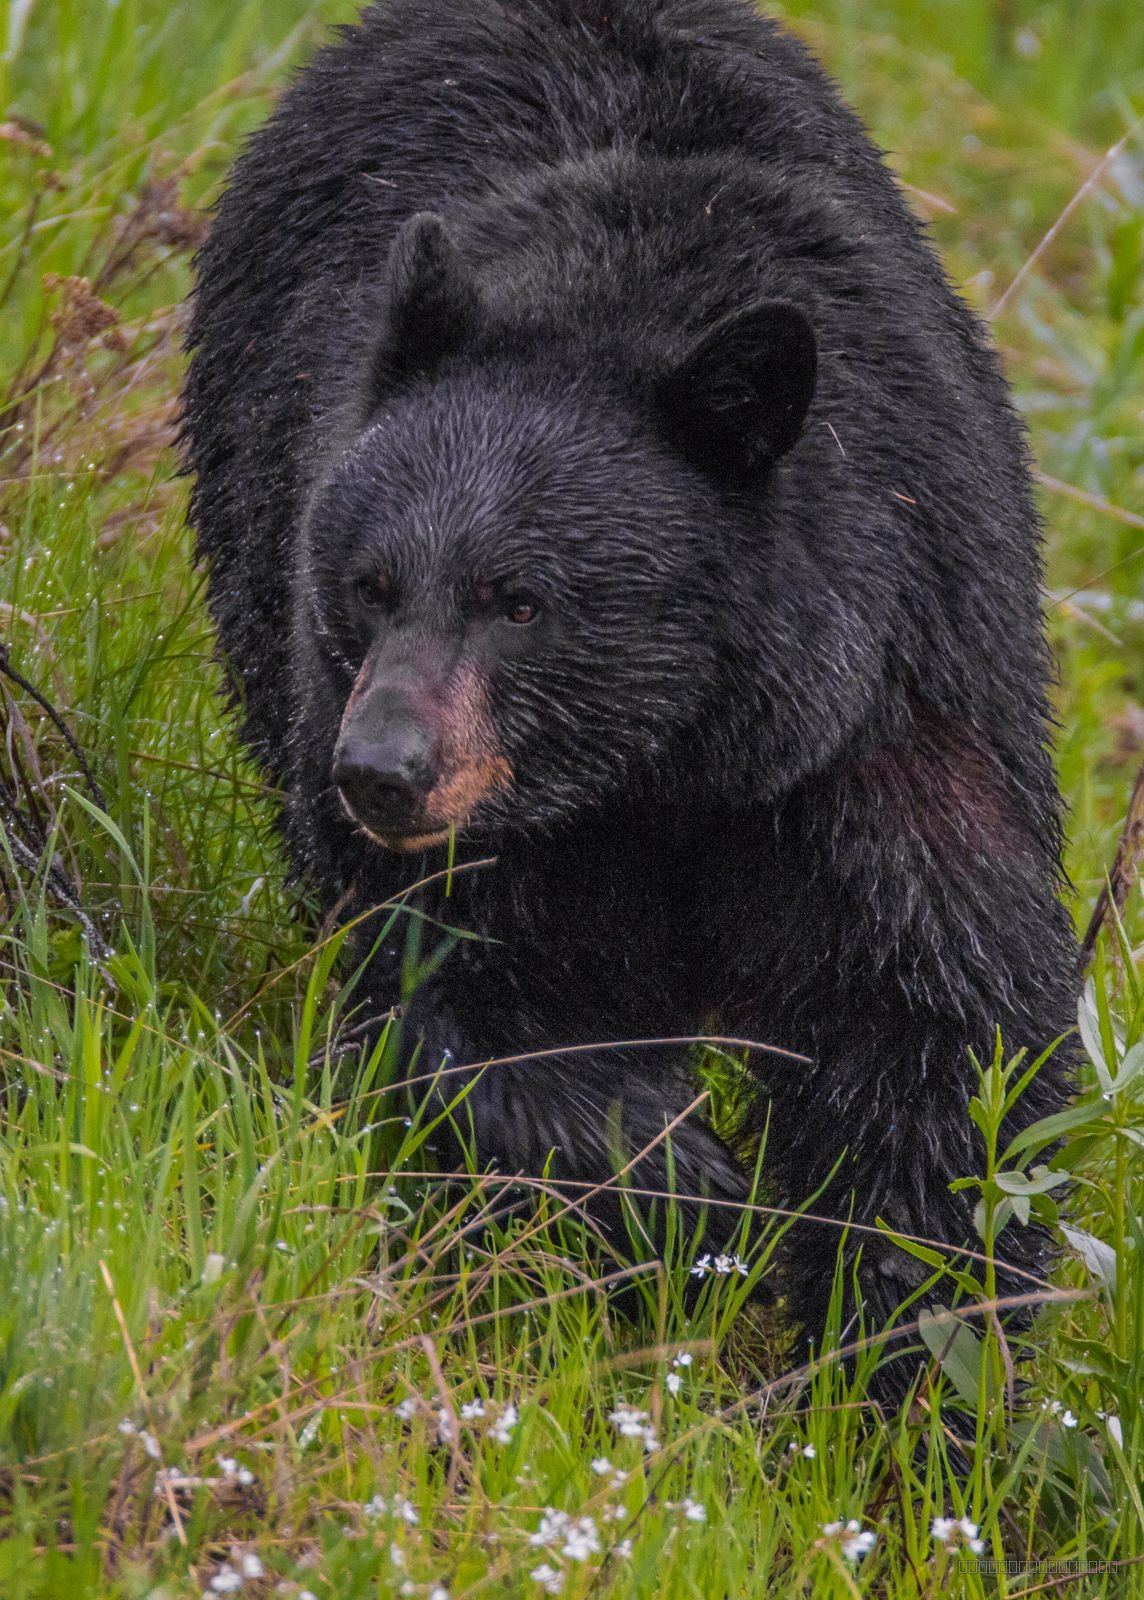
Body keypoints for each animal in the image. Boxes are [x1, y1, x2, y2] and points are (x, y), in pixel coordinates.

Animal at [183, 0, 1080, 1379]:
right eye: (371, 583)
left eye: (518, 600)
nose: (379, 774)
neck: (670, 761)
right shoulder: (497, 835)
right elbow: (474, 1003)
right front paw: (685, 1192)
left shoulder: (884, 716)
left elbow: (937, 1027)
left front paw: (908, 1365)